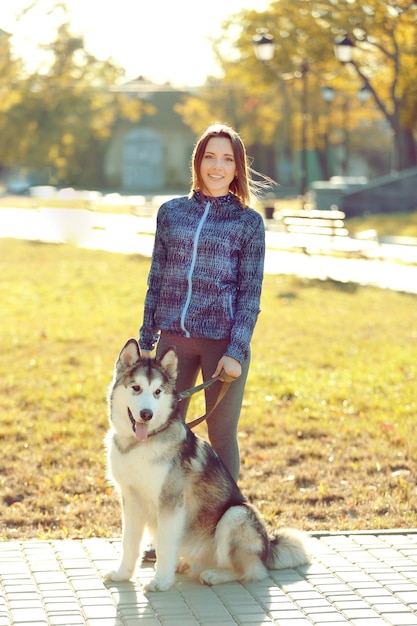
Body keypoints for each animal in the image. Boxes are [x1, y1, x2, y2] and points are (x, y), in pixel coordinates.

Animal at [105, 338, 310, 588]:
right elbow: (129, 543)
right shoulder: (131, 499)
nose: (146, 414)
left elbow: (164, 546)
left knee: (252, 570)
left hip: (236, 515)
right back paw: (186, 565)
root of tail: (269, 546)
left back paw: (215, 574)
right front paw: (122, 575)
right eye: (136, 388)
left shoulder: (171, 502)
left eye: (157, 392)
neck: (139, 444)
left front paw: (161, 582)